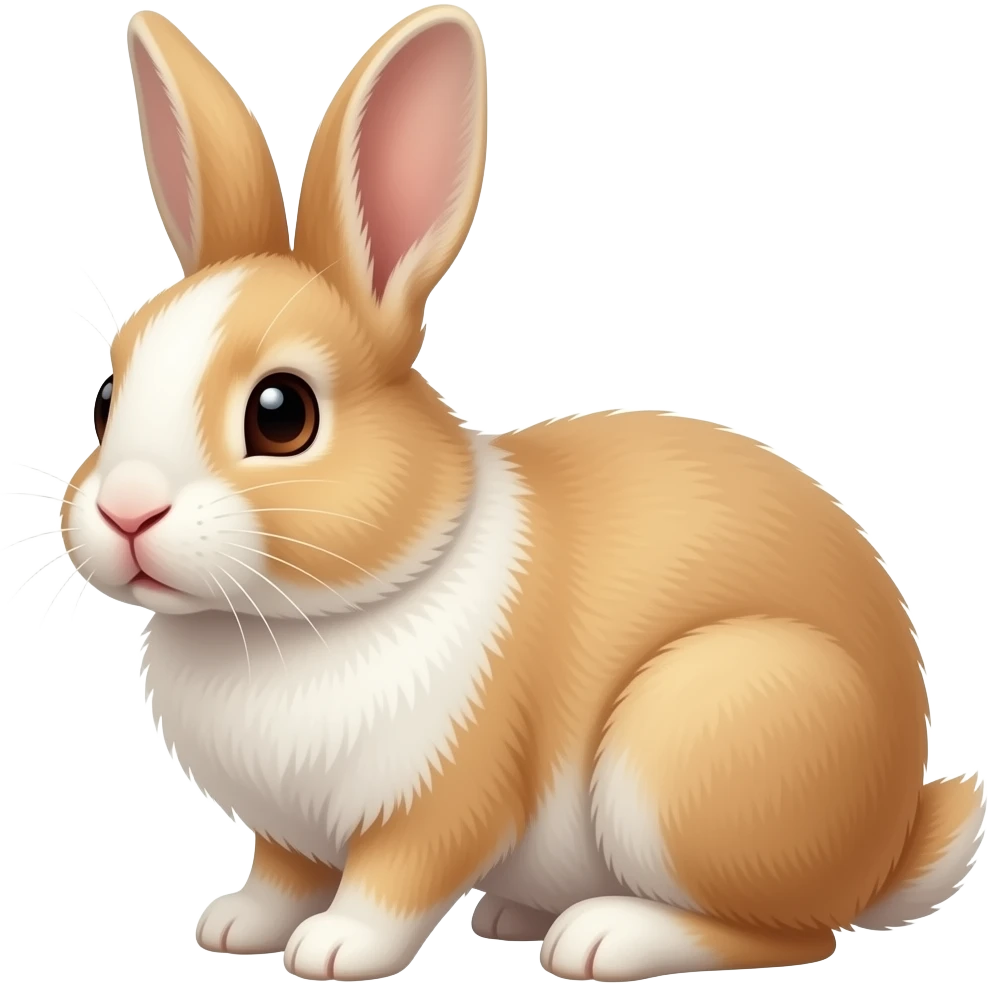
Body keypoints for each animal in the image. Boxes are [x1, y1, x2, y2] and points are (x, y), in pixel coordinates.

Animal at [59, 6, 984, 983]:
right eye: (105, 398)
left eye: (283, 414)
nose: (127, 512)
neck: (292, 620)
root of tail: (889, 842)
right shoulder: (286, 832)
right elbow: (279, 874)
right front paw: (235, 928)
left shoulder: (443, 798)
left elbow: (396, 880)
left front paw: (335, 951)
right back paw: (515, 915)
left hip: (692, 745)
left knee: (793, 933)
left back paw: (602, 937)